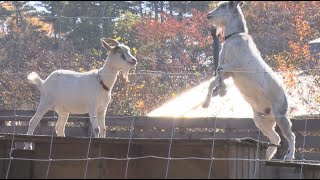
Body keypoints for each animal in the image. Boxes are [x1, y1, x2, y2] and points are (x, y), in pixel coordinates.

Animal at [204, 1, 296, 162]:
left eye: (223, 6)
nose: (209, 14)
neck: (234, 38)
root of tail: (287, 102)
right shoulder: (228, 73)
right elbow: (214, 80)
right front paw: (207, 102)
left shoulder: (237, 66)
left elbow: (219, 69)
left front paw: (222, 91)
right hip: (261, 121)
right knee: (276, 138)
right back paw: (266, 157)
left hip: (280, 116)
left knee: (290, 136)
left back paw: (289, 157)